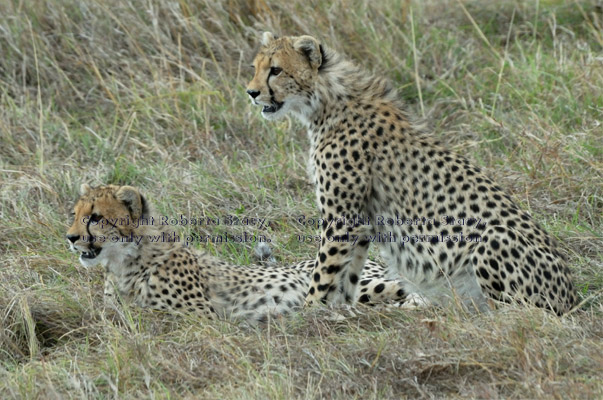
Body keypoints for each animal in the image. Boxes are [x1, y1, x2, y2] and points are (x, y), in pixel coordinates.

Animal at [66, 184, 406, 322]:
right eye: (74, 214)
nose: (70, 238)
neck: (125, 262)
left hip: (364, 285)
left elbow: (145, 312)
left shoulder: (202, 316)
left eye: (95, 218)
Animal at [248, 32, 580, 316]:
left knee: (519, 311)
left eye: (276, 70)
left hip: (493, 238)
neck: (326, 100)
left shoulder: (342, 218)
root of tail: (572, 297)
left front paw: (308, 313)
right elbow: (348, 273)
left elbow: (324, 272)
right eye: (255, 68)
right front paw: (342, 309)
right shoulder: (362, 220)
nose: (251, 92)